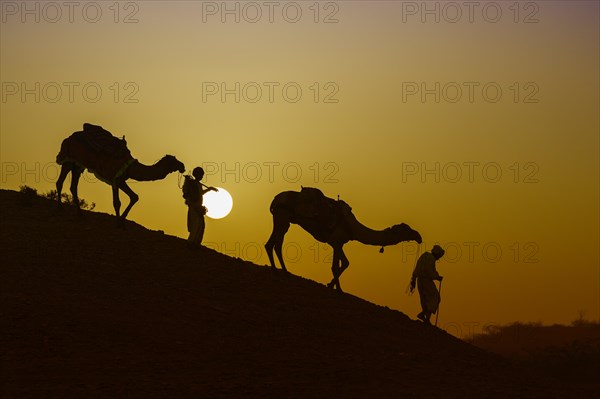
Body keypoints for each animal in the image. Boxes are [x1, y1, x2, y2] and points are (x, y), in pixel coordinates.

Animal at [268, 189, 422, 292]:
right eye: (406, 229)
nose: (419, 236)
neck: (353, 227)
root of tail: (276, 199)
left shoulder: (338, 243)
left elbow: (345, 263)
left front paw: (332, 285)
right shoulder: (336, 241)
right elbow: (336, 266)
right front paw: (337, 289)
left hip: (280, 217)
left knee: (270, 243)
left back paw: (277, 271)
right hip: (283, 216)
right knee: (277, 244)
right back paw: (283, 272)